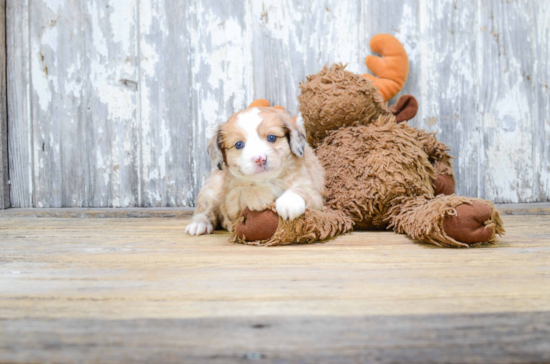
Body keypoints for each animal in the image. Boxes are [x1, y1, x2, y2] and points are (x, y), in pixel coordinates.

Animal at [185, 105, 326, 236]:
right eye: (239, 144)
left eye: (271, 138)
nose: (260, 159)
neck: (268, 179)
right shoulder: (232, 204)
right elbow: (244, 191)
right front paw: (260, 195)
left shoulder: (315, 197)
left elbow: (301, 191)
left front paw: (289, 201)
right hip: (212, 189)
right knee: (205, 211)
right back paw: (199, 223)